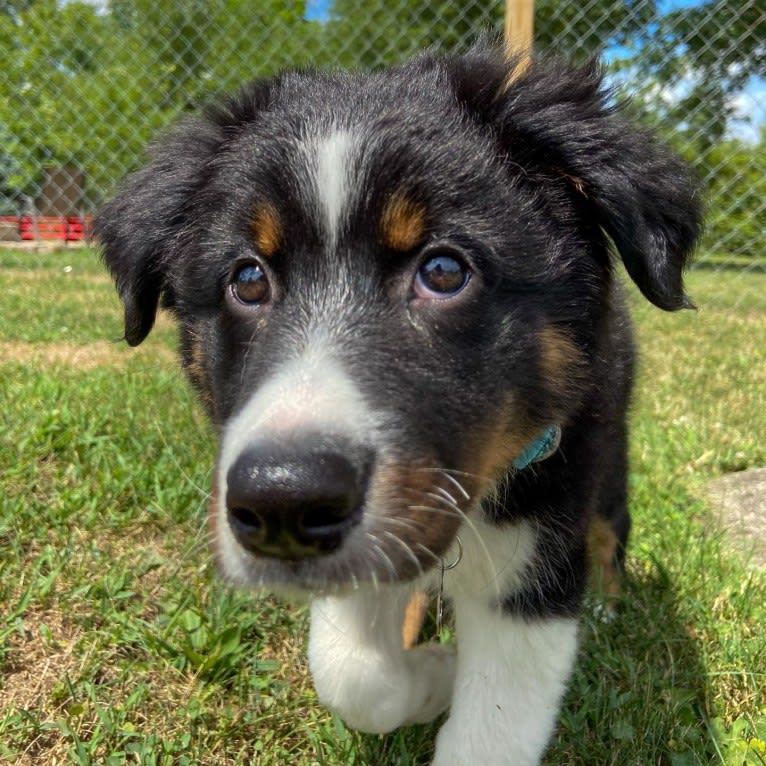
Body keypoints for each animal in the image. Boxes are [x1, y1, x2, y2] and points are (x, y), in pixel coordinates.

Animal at [96, 48, 704, 766]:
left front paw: (450, 673)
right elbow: (352, 671)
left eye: (443, 272)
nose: (282, 504)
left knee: (612, 531)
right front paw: (434, 672)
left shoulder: (538, 548)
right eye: (246, 279)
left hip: (605, 461)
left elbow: (492, 729)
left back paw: (608, 610)